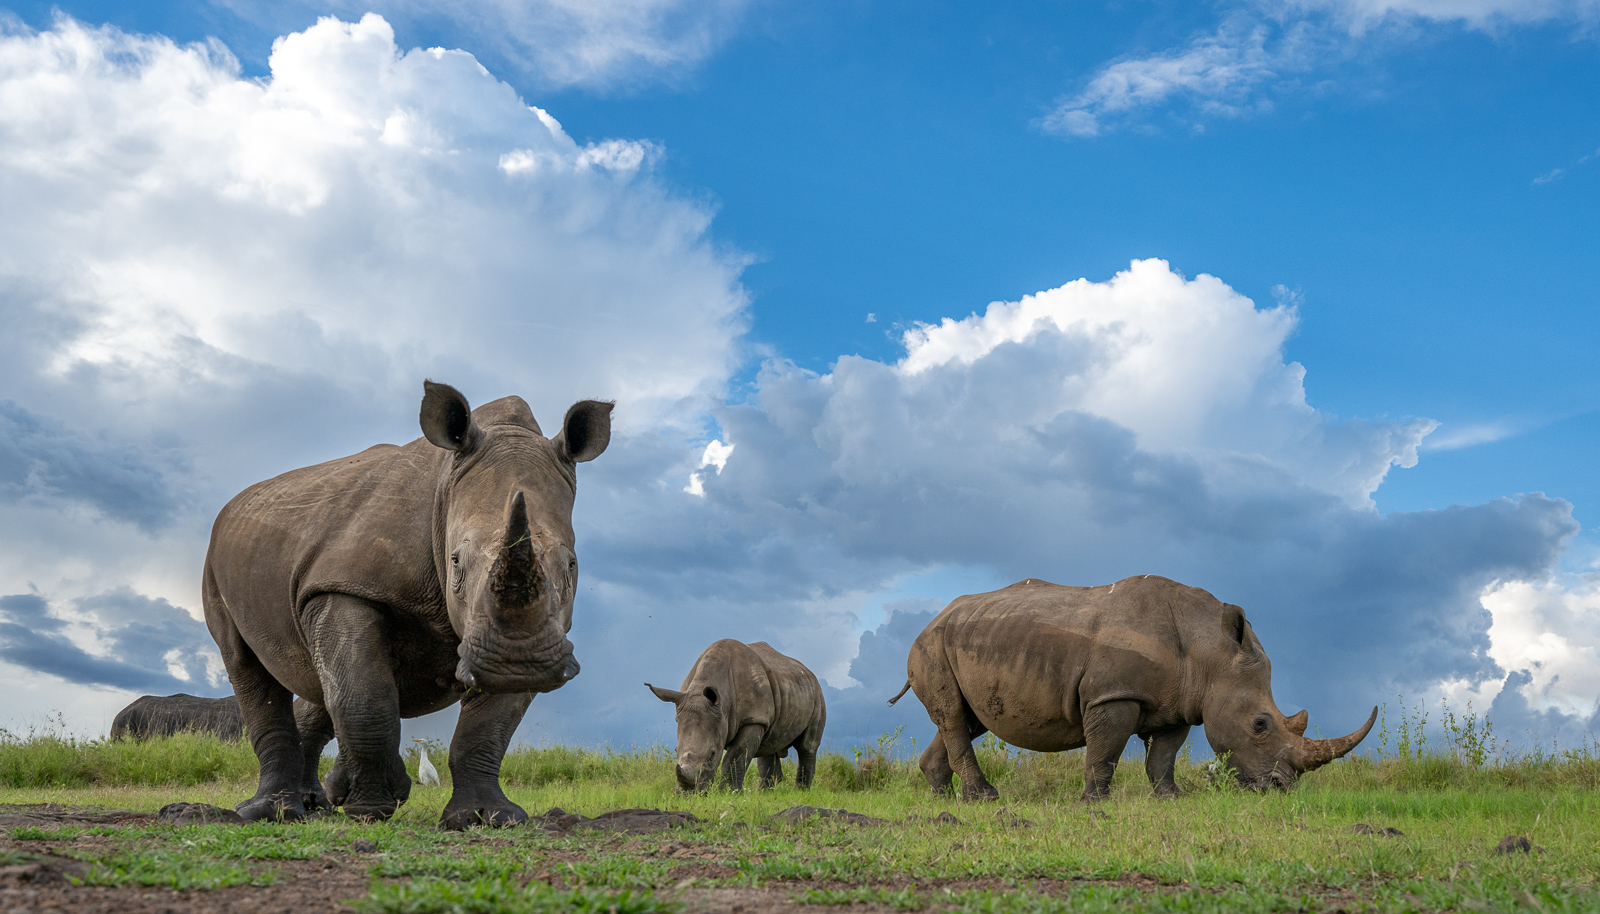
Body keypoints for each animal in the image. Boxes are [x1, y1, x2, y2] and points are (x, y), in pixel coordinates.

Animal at [203, 381, 610, 827]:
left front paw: (487, 816)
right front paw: (371, 809)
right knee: (247, 664)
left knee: (319, 678)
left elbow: (489, 727)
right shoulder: (346, 585)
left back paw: (316, 803)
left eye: (571, 565)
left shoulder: (538, 632)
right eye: (456, 562)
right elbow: (365, 698)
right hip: (217, 562)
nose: (518, 662)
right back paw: (271, 812)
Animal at [646, 640, 826, 792]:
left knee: (807, 746)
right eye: (675, 750)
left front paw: (728, 792)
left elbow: (735, 757)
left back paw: (801, 791)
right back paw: (765, 792)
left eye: (712, 754)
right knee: (769, 744)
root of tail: (808, 672)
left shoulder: (753, 720)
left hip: (817, 694)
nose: (688, 793)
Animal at [890, 576, 1375, 800]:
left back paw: (942, 796)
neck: (1209, 651)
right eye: (1260, 724)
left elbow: (1163, 756)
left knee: (967, 720)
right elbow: (1105, 750)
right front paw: (1094, 803)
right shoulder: (1114, 694)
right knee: (955, 718)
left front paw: (1172, 799)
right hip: (931, 647)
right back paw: (984, 799)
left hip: (967, 642)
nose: (1280, 788)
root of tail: (931, 619)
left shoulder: (1180, 704)